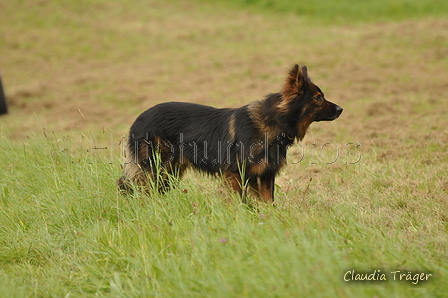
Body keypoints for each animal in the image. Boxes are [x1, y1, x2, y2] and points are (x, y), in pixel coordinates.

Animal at [117, 64, 342, 203]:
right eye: (318, 98)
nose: (341, 109)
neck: (273, 121)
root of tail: (139, 117)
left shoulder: (265, 176)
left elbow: (269, 204)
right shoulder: (235, 174)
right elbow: (241, 203)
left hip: (170, 171)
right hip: (155, 168)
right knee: (135, 188)